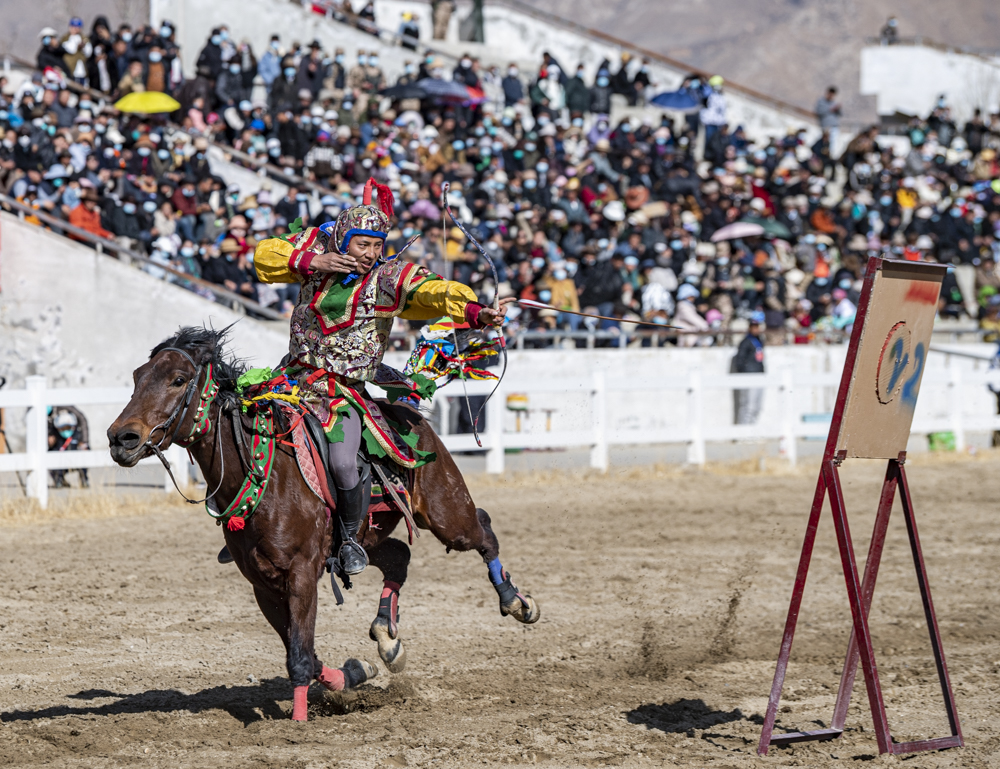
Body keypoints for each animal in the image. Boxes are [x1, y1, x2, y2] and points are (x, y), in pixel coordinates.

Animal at [107, 326, 540, 720]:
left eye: (179, 380)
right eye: (137, 377)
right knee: (398, 556)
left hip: (446, 513)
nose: (120, 438)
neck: (266, 472)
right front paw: (354, 674)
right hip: (364, 539)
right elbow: (306, 654)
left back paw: (515, 601)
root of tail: (407, 408)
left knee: (483, 529)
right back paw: (387, 640)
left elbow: (300, 655)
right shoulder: (263, 585)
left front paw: (298, 722)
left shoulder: (301, 574)